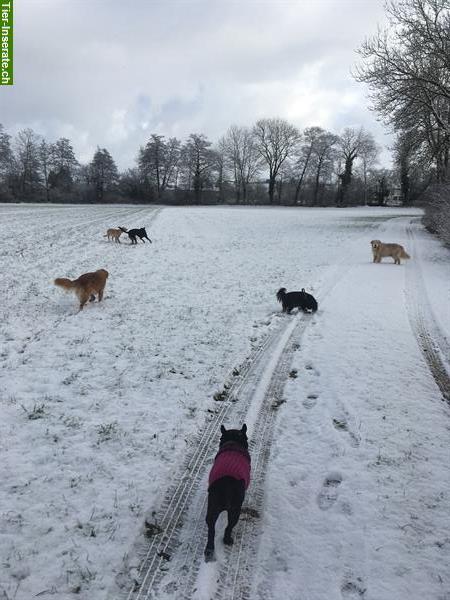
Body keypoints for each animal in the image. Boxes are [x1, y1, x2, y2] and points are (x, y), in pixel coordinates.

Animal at [206, 424, 251, 560]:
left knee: (211, 529)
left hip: (212, 508)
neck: (233, 442)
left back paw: (209, 549)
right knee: (229, 526)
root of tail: (226, 487)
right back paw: (227, 540)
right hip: (235, 510)